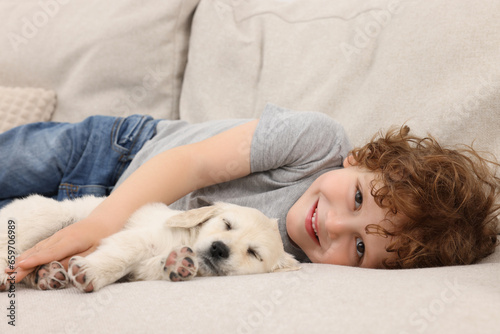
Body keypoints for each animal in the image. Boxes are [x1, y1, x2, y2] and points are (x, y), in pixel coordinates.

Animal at [0, 196, 296, 292]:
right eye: (227, 224)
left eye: (254, 253)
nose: (219, 248)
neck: (189, 238)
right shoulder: (137, 238)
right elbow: (121, 256)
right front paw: (91, 273)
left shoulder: (141, 270)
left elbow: (153, 266)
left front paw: (178, 263)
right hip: (47, 216)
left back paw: (48, 274)